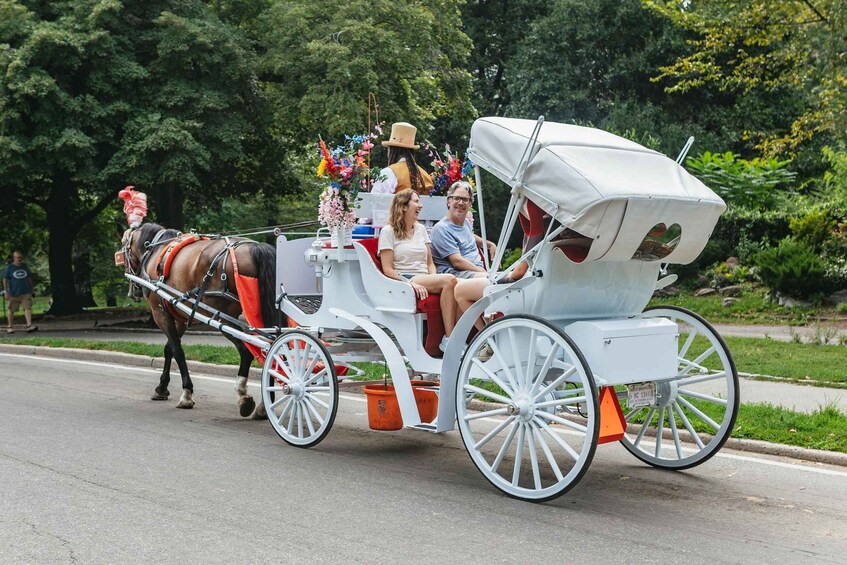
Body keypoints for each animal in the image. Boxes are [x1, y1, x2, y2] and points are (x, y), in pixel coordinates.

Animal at [119, 223, 280, 416]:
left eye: (123, 250)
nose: (132, 292)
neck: (156, 249)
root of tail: (255, 247)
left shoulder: (160, 314)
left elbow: (178, 351)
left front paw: (186, 394)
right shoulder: (179, 316)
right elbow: (169, 349)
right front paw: (162, 388)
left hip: (222, 318)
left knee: (248, 351)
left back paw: (244, 396)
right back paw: (265, 403)